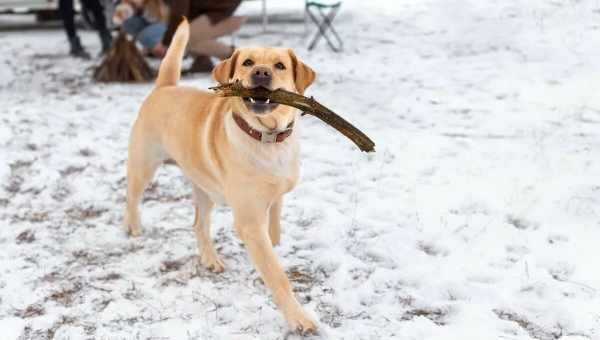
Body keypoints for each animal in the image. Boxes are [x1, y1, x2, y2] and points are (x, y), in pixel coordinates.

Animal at [123, 19, 318, 332]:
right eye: (248, 62)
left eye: (279, 65)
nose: (260, 72)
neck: (267, 138)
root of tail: (165, 87)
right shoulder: (249, 221)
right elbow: (277, 275)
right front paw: (298, 317)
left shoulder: (275, 199)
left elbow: (274, 234)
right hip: (144, 165)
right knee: (130, 197)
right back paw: (132, 226)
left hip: (205, 190)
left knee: (198, 225)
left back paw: (210, 259)